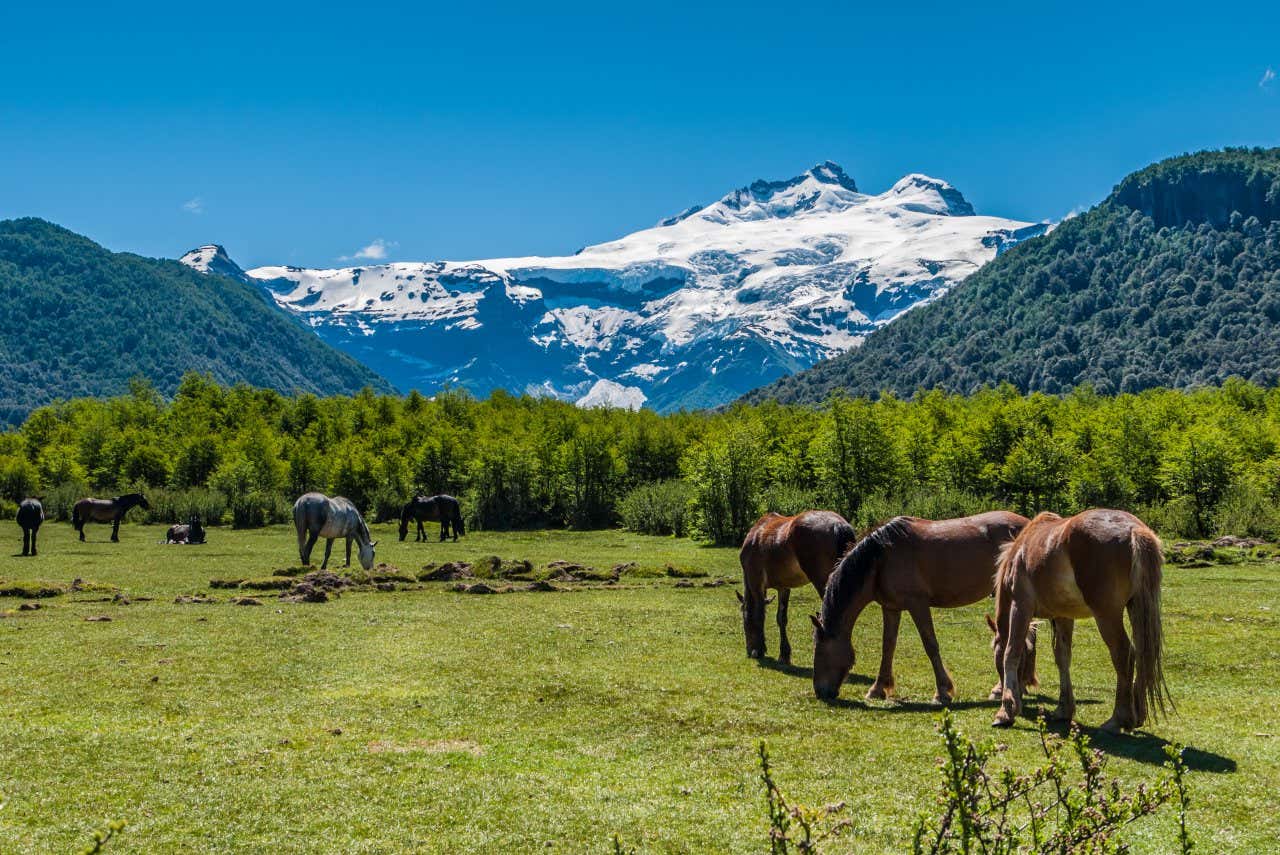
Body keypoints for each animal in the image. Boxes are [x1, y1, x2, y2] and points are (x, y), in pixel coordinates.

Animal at [737, 511, 855, 665]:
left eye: (744, 623)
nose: (749, 650)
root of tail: (838, 525)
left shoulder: (756, 583)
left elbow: (759, 615)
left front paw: (760, 649)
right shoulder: (783, 587)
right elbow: (781, 618)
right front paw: (784, 654)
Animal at [814, 514, 1034, 701]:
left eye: (821, 651)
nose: (820, 692)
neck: (881, 557)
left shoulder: (917, 604)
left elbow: (930, 645)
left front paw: (942, 691)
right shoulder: (891, 608)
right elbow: (888, 646)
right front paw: (877, 689)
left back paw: (1002, 689)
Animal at [988, 506, 1172, 737]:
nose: (1025, 686)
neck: (1020, 552)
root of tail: (1133, 530)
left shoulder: (1020, 606)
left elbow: (1010, 653)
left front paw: (1006, 712)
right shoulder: (1063, 616)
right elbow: (1062, 657)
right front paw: (1063, 709)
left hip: (1107, 616)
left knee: (1124, 655)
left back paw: (1118, 719)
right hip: (1136, 607)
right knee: (1142, 654)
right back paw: (1137, 715)